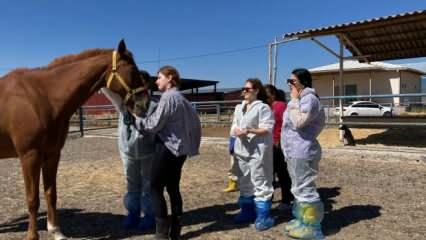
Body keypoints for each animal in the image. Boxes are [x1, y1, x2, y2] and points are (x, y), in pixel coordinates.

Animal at [0, 40, 150, 239]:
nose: (144, 104)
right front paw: (32, 236)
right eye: (133, 71)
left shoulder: (52, 154)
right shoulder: (29, 156)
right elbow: (32, 199)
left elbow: (51, 193)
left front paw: (56, 231)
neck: (41, 97)